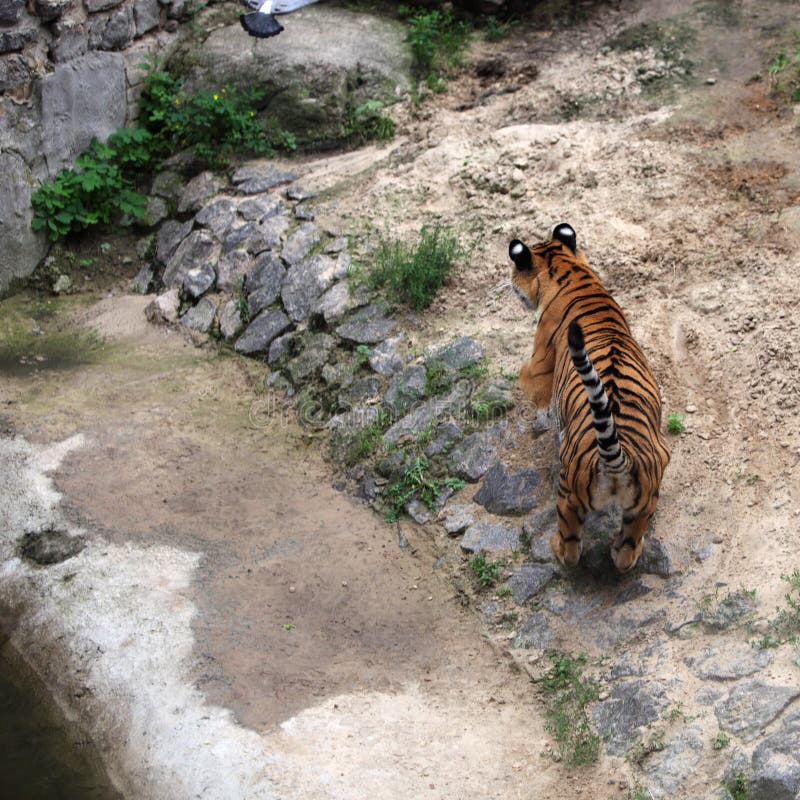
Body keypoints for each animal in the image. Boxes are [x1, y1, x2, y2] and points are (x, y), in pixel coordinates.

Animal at [508, 223, 669, 573]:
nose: (511, 285)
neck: (569, 268)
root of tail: (619, 460)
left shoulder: (539, 365)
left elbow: (528, 381)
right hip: (646, 499)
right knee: (626, 552)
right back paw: (622, 551)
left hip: (569, 493)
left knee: (571, 546)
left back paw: (556, 549)